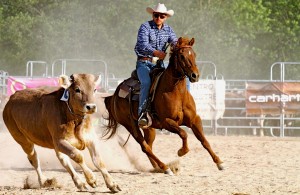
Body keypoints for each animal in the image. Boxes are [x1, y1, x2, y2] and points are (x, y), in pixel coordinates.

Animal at [103, 37, 223, 174]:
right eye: (182, 56)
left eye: (194, 54)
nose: (195, 75)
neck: (177, 93)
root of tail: (115, 94)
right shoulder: (167, 122)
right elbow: (183, 133)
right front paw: (181, 151)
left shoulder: (194, 119)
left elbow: (204, 140)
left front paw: (219, 162)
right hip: (131, 125)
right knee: (144, 147)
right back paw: (165, 167)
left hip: (149, 128)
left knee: (148, 146)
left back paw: (157, 167)